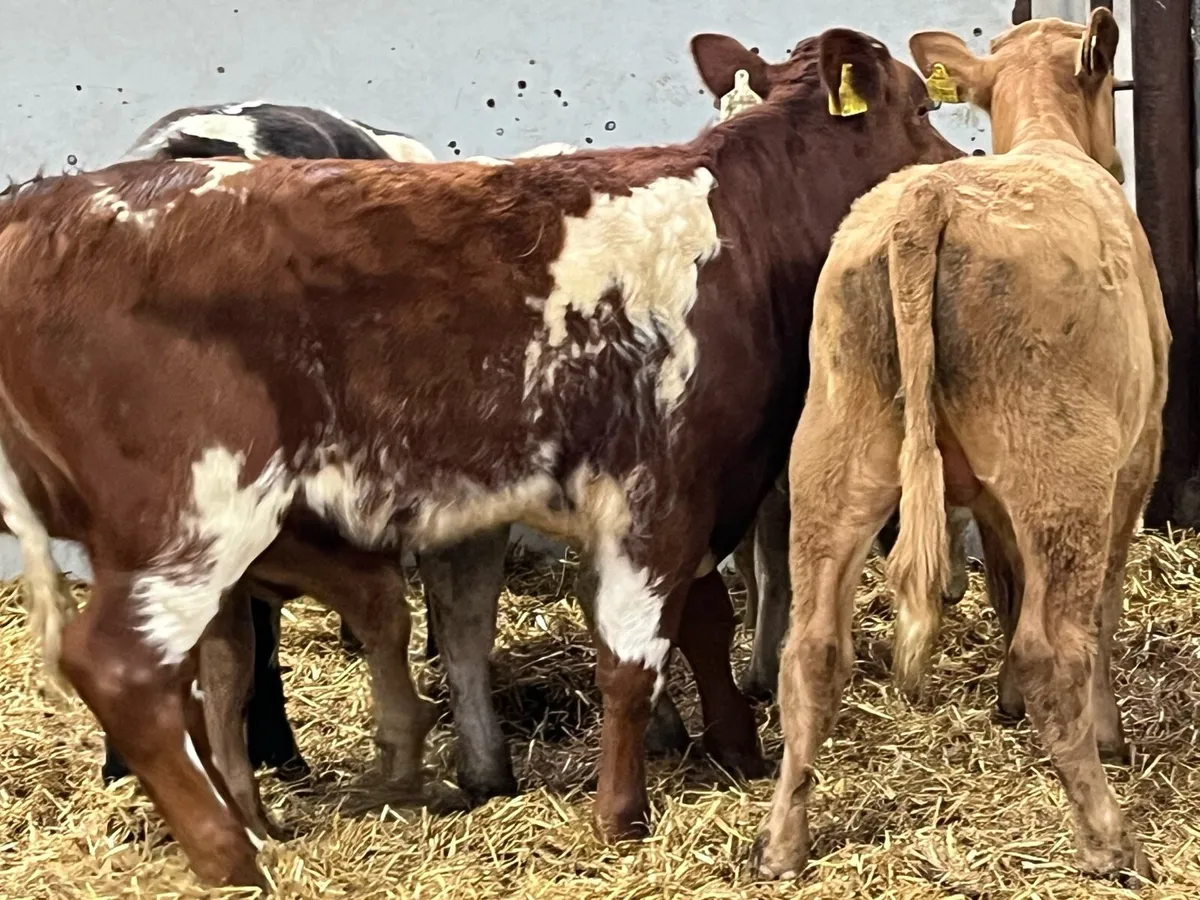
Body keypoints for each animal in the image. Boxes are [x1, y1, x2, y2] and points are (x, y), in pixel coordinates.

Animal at [0, 26, 959, 887]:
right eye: (922, 105)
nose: (958, 157)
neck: (734, 234)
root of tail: (42, 211)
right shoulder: (659, 489)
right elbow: (631, 658)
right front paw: (623, 815)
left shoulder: (699, 494)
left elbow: (698, 624)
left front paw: (728, 749)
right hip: (192, 513)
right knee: (127, 670)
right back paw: (232, 858)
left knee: (207, 675)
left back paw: (251, 822)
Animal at [752, 11, 1163, 882]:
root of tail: (929, 197)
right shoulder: (1136, 462)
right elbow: (1100, 606)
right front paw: (1107, 731)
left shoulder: (994, 502)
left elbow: (1006, 584)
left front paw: (1004, 700)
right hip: (1062, 472)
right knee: (1058, 646)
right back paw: (1109, 838)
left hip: (831, 458)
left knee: (810, 652)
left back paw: (780, 845)